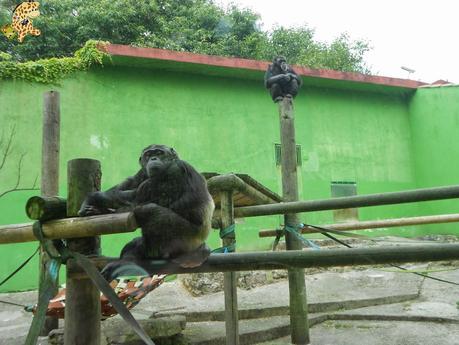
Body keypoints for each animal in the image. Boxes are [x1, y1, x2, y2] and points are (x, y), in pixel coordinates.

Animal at [79, 143, 216, 280]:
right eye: (148, 154)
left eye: (159, 153)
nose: (153, 158)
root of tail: (200, 246)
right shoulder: (142, 173)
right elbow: (125, 187)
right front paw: (96, 209)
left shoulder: (174, 172)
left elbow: (136, 199)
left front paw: (93, 197)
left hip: (187, 238)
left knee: (147, 210)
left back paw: (152, 252)